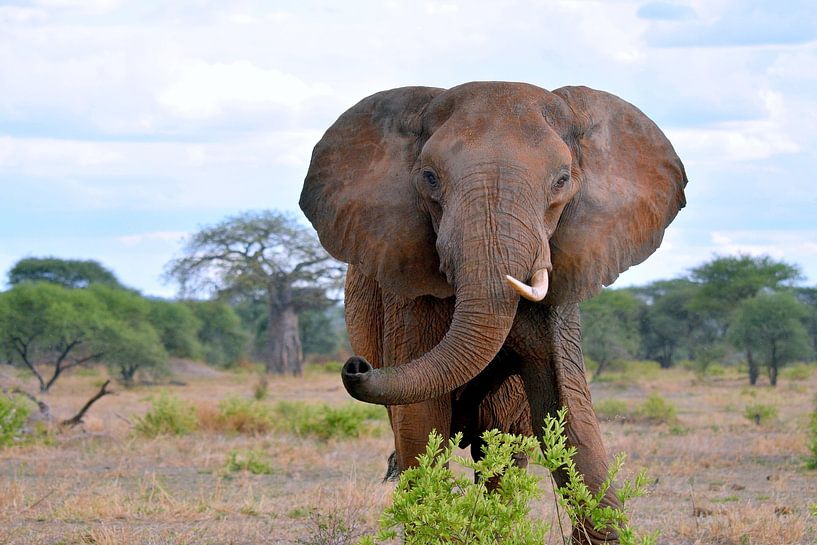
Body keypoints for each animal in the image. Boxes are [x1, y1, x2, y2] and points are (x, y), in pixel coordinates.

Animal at [299, 82, 687, 544]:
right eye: (429, 178)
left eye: (562, 181)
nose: (356, 366)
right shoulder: (405, 291)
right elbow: (421, 422)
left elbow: (570, 413)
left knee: (502, 451)